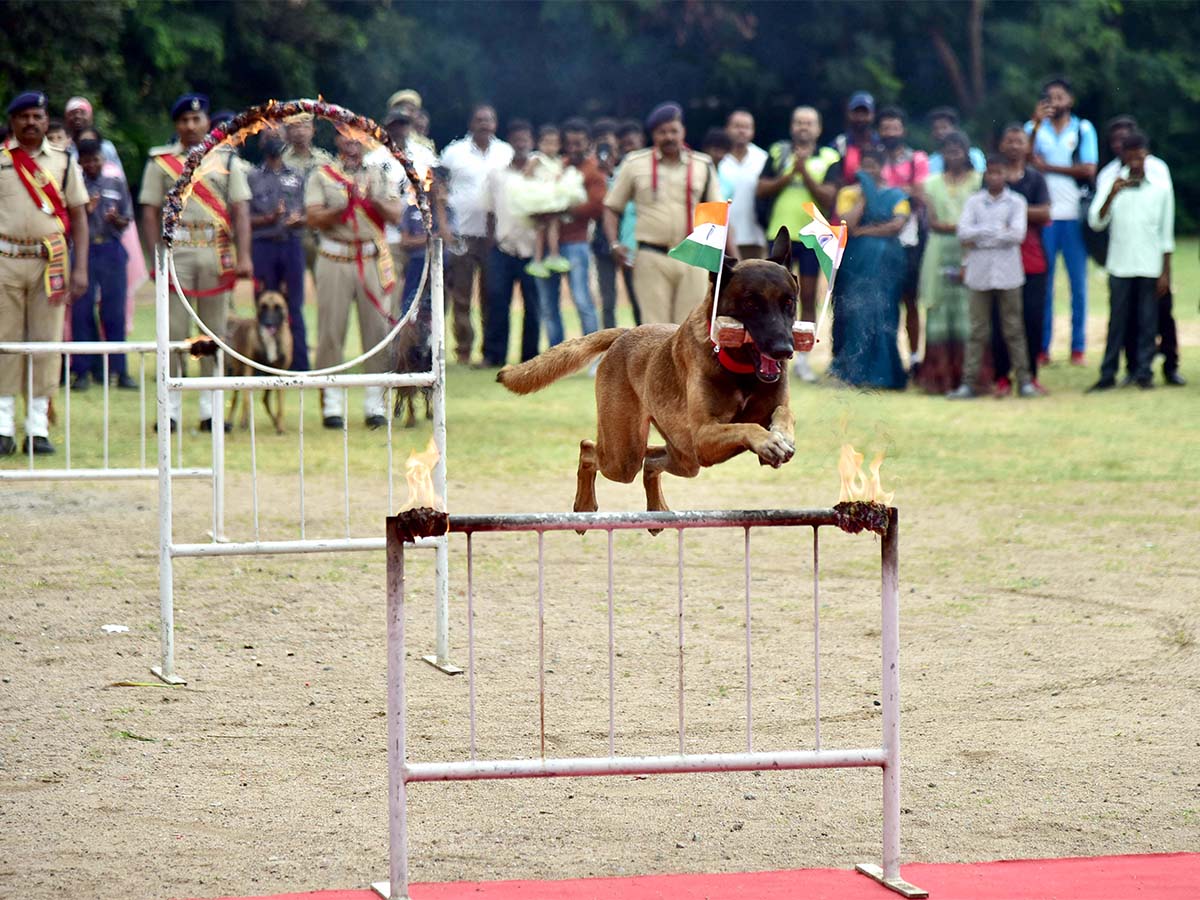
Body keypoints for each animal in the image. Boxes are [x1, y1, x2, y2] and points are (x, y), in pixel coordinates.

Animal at [228, 290, 296, 434]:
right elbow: (246, 399)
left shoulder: (281, 372)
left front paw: (280, 426)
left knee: (265, 399)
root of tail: (241, 321)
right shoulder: (248, 369)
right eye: (263, 307)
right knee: (236, 399)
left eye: (278, 307)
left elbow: (280, 405)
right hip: (239, 371)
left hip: (269, 376)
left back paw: (275, 421)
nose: (269, 323)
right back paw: (234, 421)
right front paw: (245, 421)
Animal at [496, 229, 796, 518]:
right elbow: (747, 426)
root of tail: (626, 332)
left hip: (685, 458)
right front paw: (769, 440)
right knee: (589, 449)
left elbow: (782, 412)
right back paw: (584, 504)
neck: (737, 368)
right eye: (750, 304)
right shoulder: (704, 437)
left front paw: (782, 435)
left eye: (789, 303)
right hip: (625, 455)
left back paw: (656, 508)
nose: (785, 350)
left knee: (650, 459)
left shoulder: (729, 429)